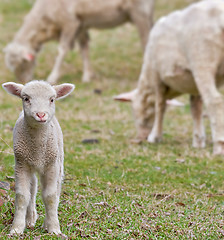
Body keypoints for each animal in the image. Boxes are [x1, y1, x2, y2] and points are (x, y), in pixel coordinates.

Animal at [1, 79, 74, 233]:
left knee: (56, 189)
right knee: (33, 189)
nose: (41, 115)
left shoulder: (52, 165)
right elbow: (22, 196)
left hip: (58, 161)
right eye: (26, 98)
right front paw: (16, 228)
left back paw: (47, 221)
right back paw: (30, 219)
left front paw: (53, 228)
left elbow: (50, 196)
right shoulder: (21, 164)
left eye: (52, 99)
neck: (37, 150)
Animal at [3, 0, 154, 84]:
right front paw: (87, 76)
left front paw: (53, 76)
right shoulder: (81, 24)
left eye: (22, 62)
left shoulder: (70, 22)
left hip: (139, 12)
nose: (22, 81)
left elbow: (62, 50)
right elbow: (84, 49)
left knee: (146, 41)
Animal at [115, 0, 224, 154]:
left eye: (133, 111)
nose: (141, 137)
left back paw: (219, 147)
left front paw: (155, 136)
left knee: (215, 100)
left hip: (202, 60)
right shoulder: (194, 86)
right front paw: (198, 141)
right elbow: (195, 109)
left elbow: (160, 106)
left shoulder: (157, 77)